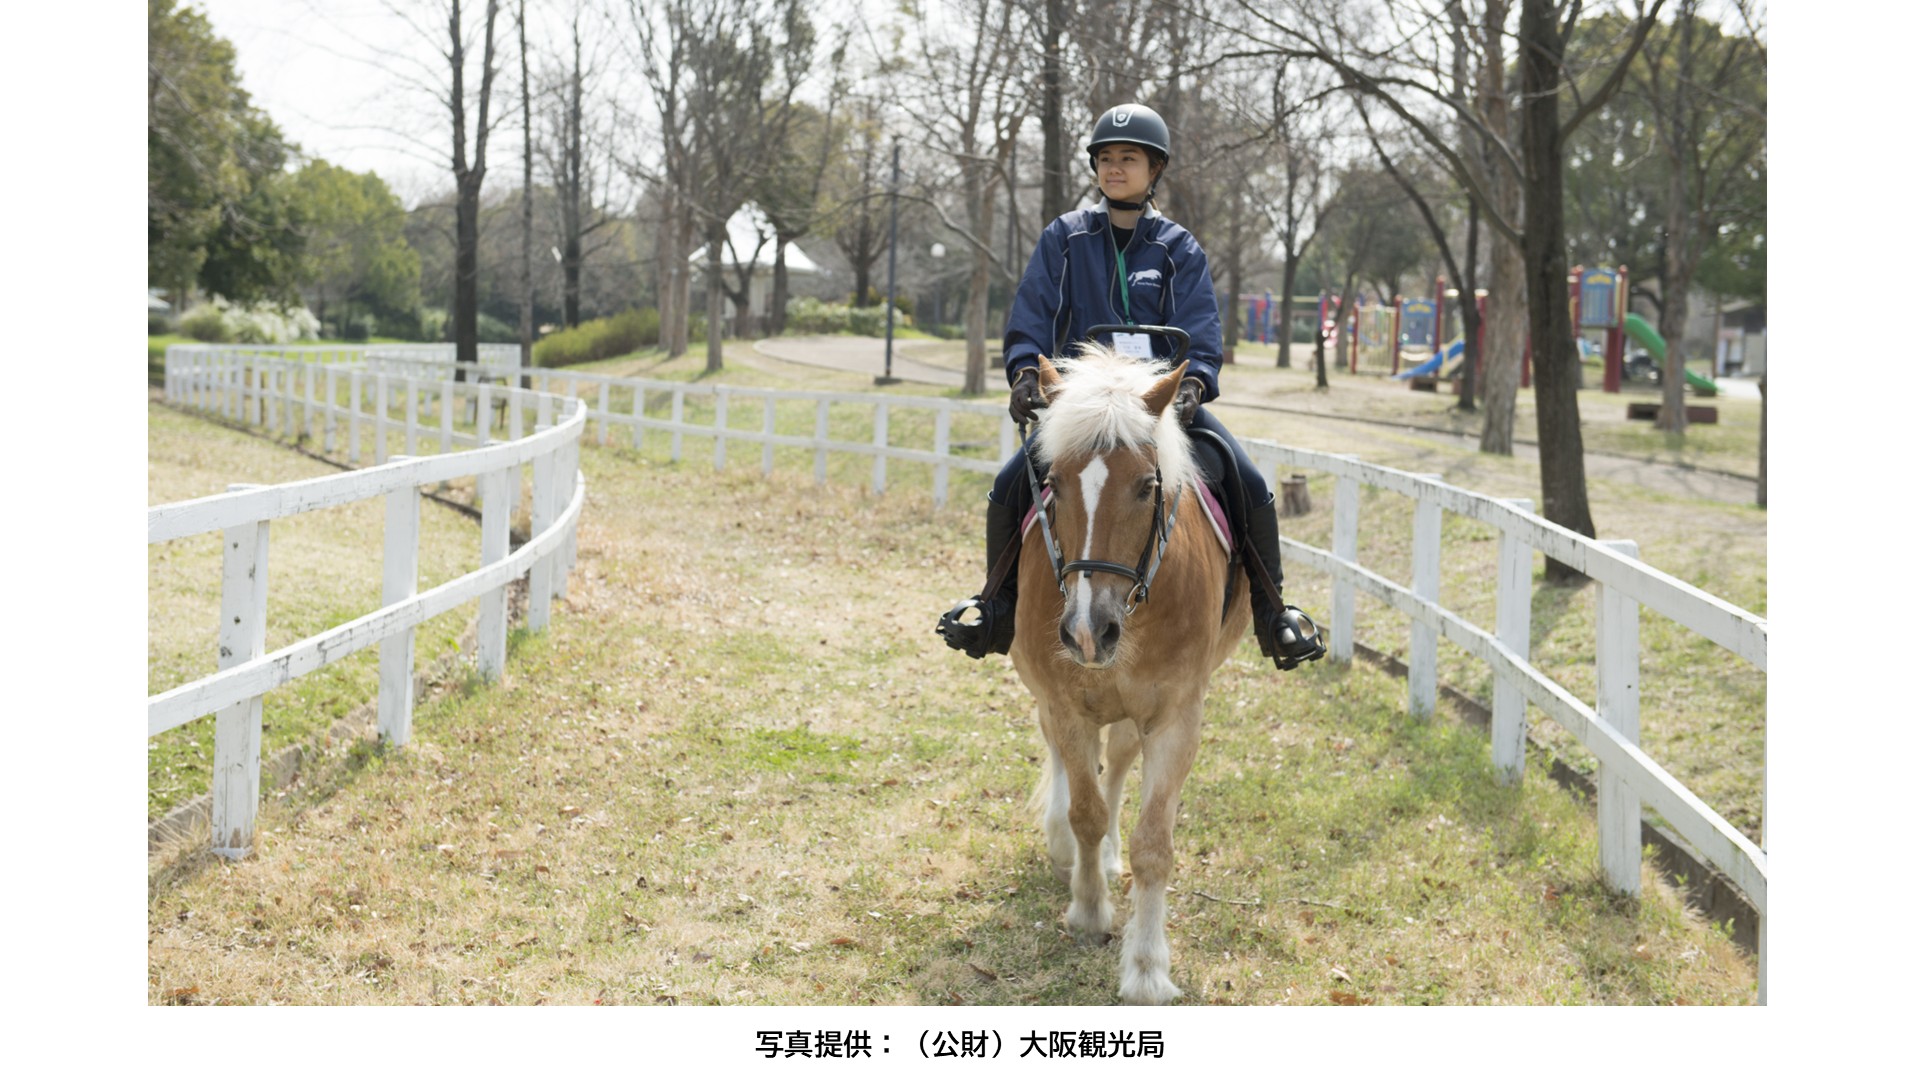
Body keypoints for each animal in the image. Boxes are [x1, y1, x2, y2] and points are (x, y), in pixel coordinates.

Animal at [1010, 347, 1251, 1005]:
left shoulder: (1177, 717)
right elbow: (1085, 811)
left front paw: (1146, 968)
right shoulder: (1065, 702)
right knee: (1070, 763)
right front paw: (1089, 912)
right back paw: (1067, 850)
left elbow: (1153, 845)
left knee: (1116, 759)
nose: (1088, 631)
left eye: (1147, 487)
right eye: (1053, 485)